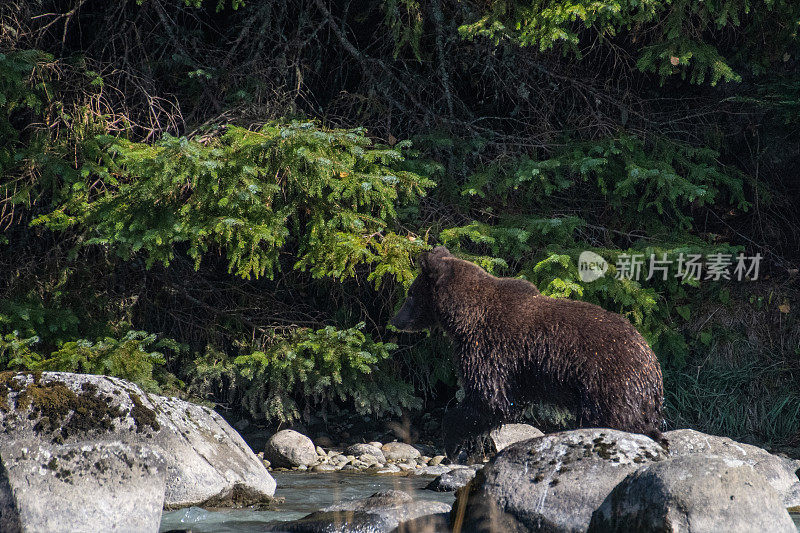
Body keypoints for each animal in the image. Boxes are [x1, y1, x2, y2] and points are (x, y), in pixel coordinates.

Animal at [390, 247, 664, 456]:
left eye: (410, 294)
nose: (395, 320)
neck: (465, 317)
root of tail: (651, 360)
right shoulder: (516, 370)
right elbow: (504, 401)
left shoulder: (489, 348)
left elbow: (489, 398)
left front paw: (451, 438)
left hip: (607, 380)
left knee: (616, 419)